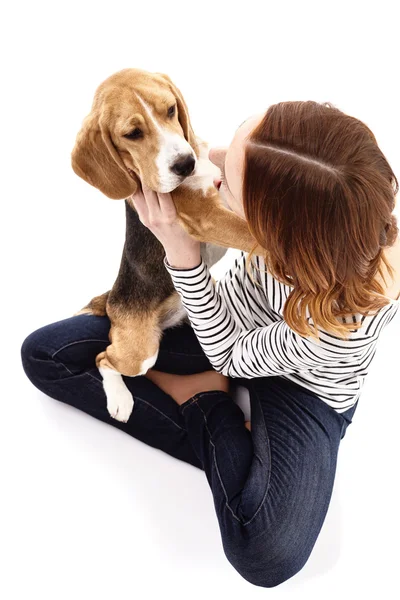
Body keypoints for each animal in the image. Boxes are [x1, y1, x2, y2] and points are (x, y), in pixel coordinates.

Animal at [71, 69, 260, 422]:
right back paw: (120, 400)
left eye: (171, 110)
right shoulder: (206, 217)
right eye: (132, 133)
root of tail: (112, 299)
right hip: (140, 354)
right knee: (104, 358)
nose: (185, 164)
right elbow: (249, 232)